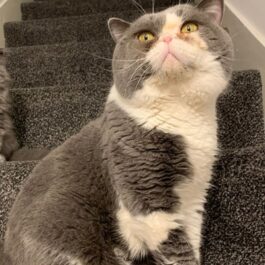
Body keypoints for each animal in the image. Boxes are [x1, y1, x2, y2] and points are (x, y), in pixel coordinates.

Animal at [3, 0, 232, 262]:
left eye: (190, 27)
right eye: (145, 36)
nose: (167, 39)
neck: (182, 112)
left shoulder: (194, 197)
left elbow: (191, 238)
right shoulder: (146, 193)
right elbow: (177, 251)